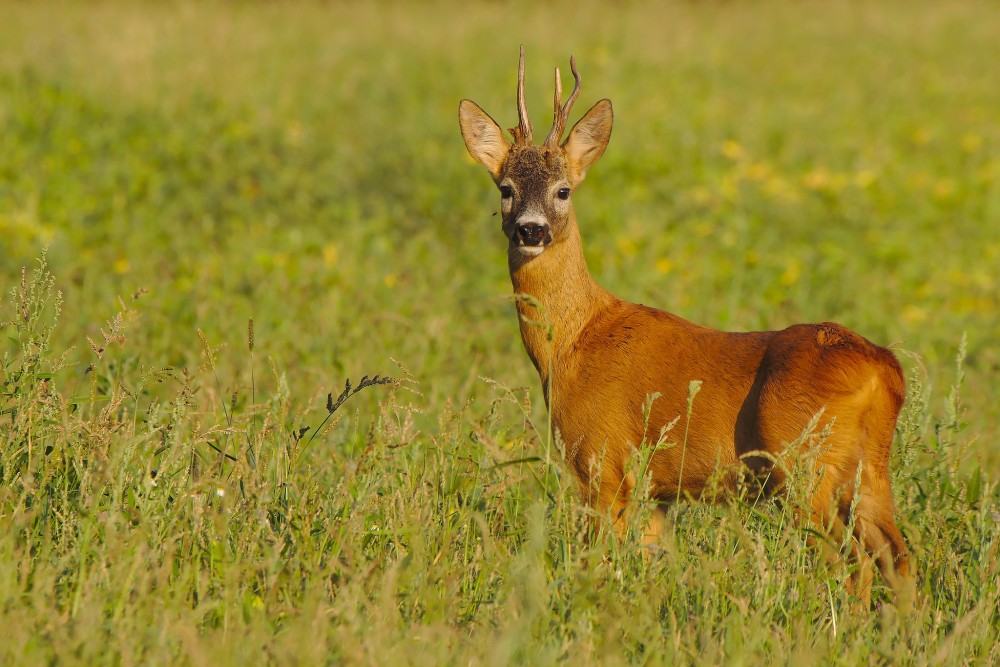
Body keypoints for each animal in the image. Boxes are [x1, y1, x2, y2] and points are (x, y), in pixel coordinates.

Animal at [460, 47, 916, 612]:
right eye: (506, 189)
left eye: (563, 190)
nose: (531, 229)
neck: (573, 342)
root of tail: (882, 367)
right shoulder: (658, 491)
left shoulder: (603, 462)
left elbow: (598, 564)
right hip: (869, 470)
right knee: (898, 557)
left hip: (803, 463)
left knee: (851, 562)